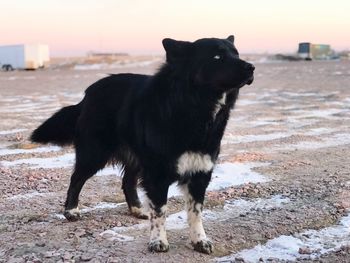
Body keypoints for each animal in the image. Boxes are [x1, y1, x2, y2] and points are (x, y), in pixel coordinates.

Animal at [31, 36, 254, 255]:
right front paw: (158, 241)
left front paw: (200, 240)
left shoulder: (200, 171)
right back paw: (71, 210)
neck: (192, 105)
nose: (251, 67)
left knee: (127, 181)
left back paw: (137, 209)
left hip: (135, 156)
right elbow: (160, 211)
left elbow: (195, 212)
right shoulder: (157, 173)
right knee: (76, 179)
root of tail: (89, 93)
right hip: (95, 153)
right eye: (217, 57)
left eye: (236, 54)